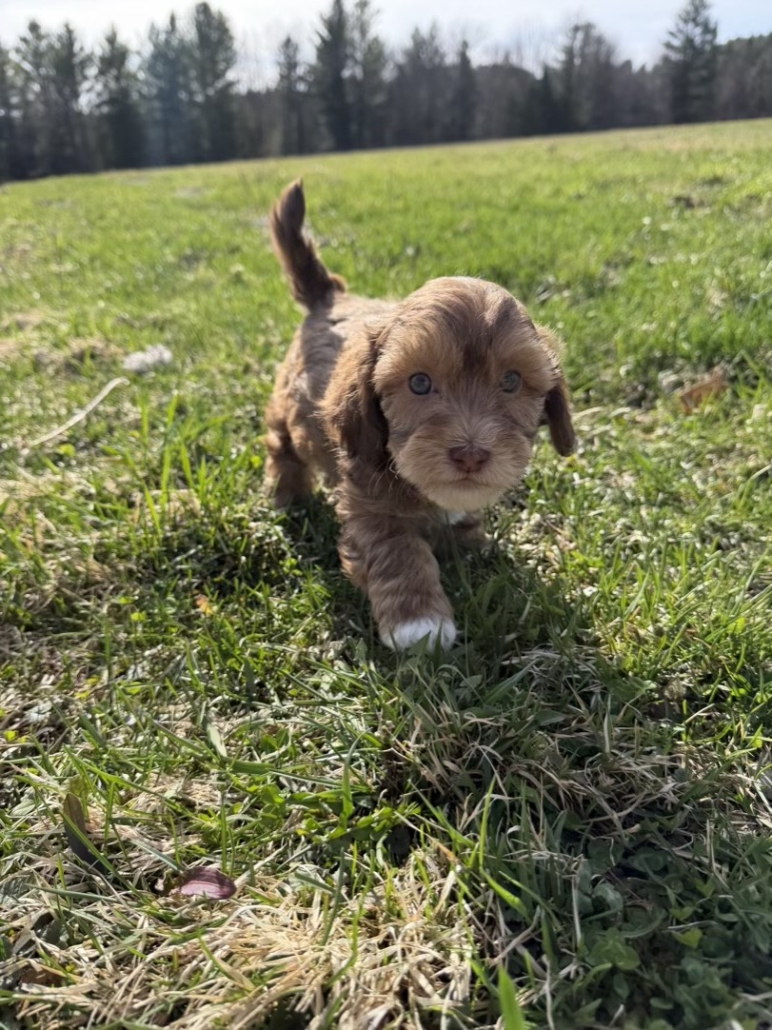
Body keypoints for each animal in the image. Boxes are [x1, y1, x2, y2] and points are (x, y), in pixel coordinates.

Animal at [264, 180, 575, 651]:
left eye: (511, 381)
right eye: (419, 383)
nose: (470, 455)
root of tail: (329, 294)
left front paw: (472, 540)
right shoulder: (370, 503)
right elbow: (397, 549)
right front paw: (419, 623)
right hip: (287, 405)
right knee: (281, 444)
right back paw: (287, 496)